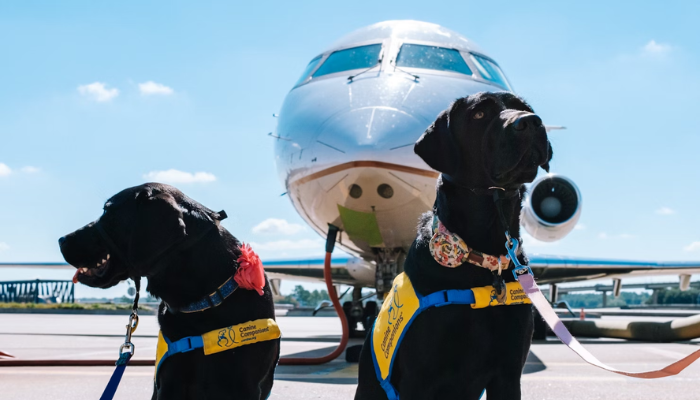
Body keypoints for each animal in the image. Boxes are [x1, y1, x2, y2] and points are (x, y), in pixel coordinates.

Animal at [356, 92, 552, 400]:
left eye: (524, 107)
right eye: (479, 114)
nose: (531, 122)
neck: (486, 257)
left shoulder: (508, 373)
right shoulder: (419, 379)